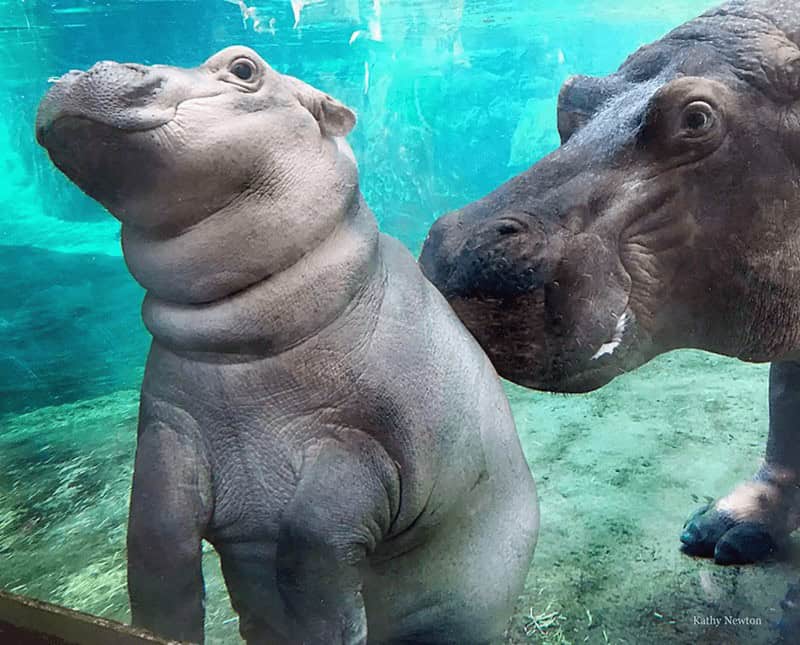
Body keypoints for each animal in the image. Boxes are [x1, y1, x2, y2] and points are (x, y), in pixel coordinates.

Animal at [35, 47, 538, 644]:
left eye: (244, 68)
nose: (77, 72)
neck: (241, 345)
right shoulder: (169, 426)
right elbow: (153, 537)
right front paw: (160, 626)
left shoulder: (366, 444)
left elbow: (310, 543)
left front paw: (331, 628)